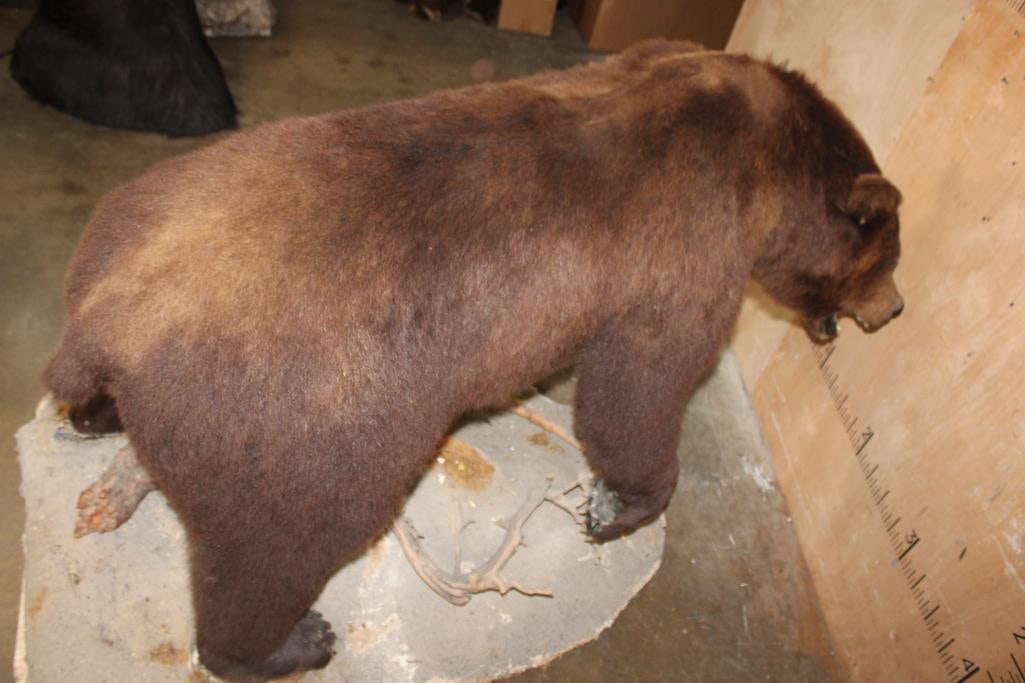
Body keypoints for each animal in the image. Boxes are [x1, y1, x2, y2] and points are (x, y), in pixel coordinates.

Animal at [42, 40, 904, 681]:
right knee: (278, 546)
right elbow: (642, 383)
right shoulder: (688, 247)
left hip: (121, 244)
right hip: (296, 423)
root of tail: (113, 316)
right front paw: (620, 505)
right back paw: (290, 641)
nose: (892, 310)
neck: (769, 157)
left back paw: (95, 423)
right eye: (889, 257)